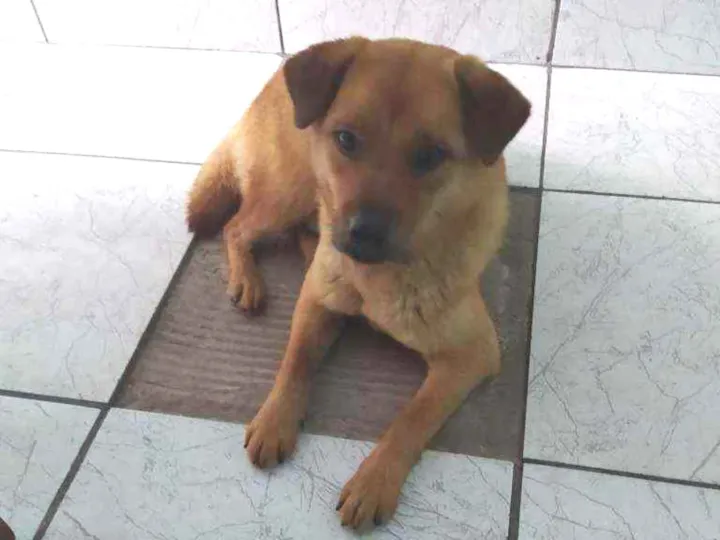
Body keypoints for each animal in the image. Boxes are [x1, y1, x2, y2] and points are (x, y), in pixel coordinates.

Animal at [186, 36, 530, 530]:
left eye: (430, 156)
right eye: (346, 139)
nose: (363, 232)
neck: (380, 277)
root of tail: (275, 80)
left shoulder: (472, 355)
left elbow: (411, 418)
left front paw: (374, 481)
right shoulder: (315, 302)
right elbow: (295, 360)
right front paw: (275, 418)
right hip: (292, 190)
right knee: (237, 226)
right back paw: (248, 277)